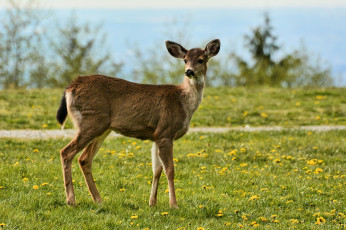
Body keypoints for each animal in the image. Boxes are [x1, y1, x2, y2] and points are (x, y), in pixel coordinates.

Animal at [55, 38, 220, 208]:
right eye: (185, 60)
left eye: (201, 60)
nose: (189, 72)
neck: (183, 102)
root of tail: (71, 87)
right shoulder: (166, 132)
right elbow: (170, 170)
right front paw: (174, 204)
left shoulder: (157, 136)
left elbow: (157, 170)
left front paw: (152, 202)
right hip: (91, 121)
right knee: (66, 152)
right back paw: (71, 200)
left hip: (102, 127)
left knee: (84, 159)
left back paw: (98, 200)